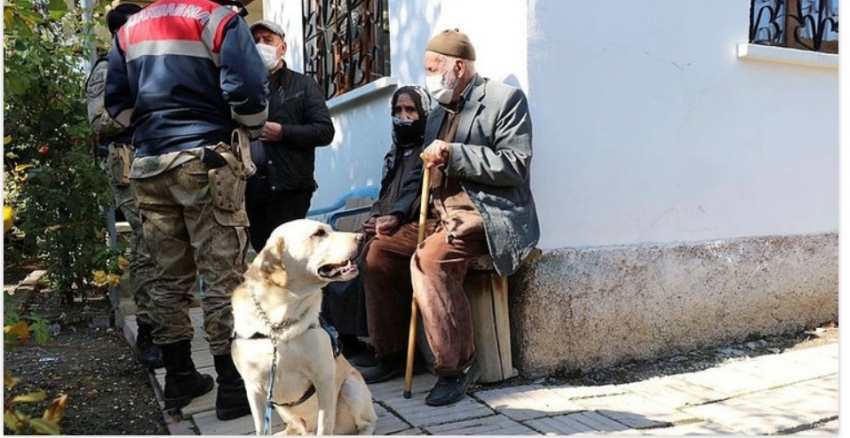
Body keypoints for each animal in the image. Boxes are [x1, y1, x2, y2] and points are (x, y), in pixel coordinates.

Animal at [234, 219, 376, 434]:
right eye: (318, 233)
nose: (362, 237)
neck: (279, 324)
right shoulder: (254, 388)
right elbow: (261, 429)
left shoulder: (324, 378)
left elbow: (325, 427)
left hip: (352, 386)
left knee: (367, 423)